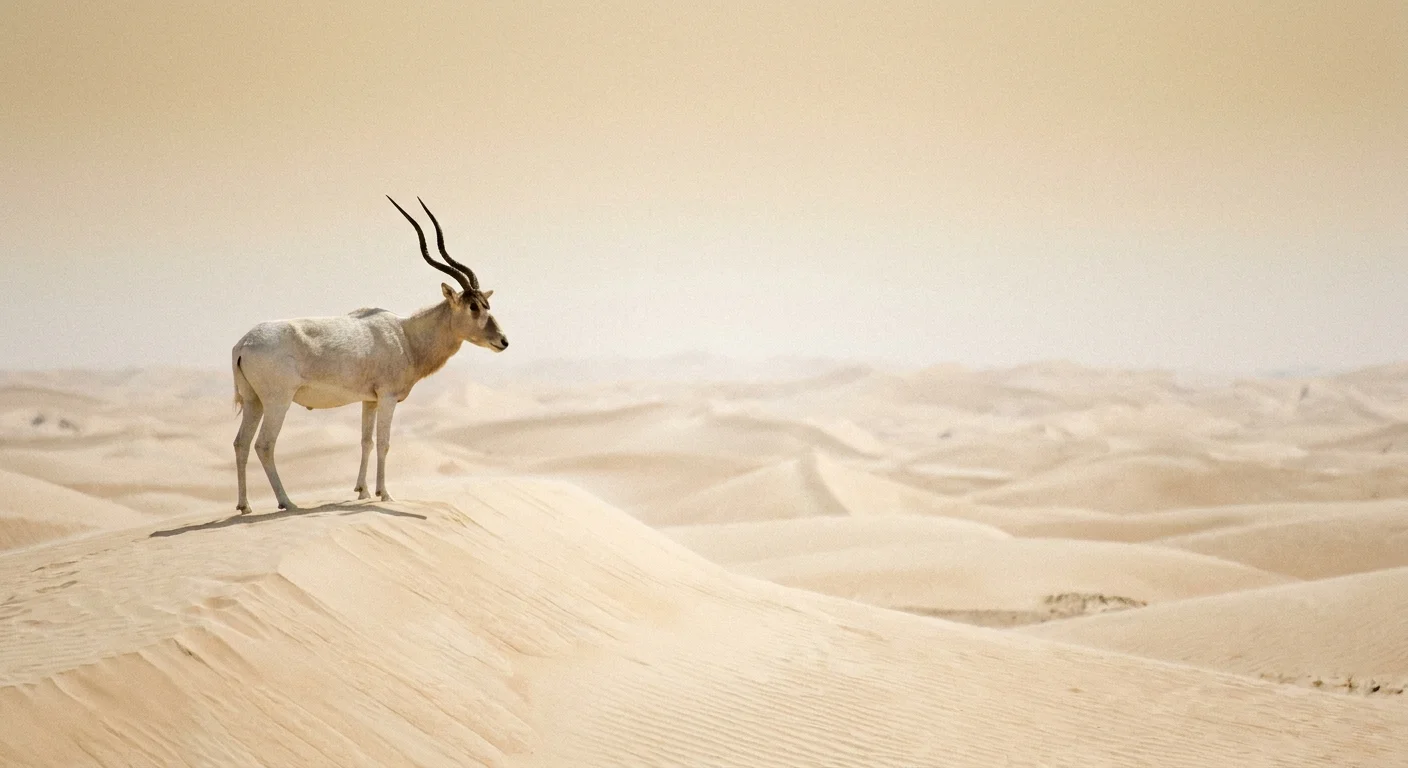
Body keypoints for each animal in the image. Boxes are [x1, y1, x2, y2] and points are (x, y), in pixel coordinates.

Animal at [231, 197, 508, 513]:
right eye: (473, 307)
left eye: (486, 304)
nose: (503, 341)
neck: (406, 335)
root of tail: (244, 344)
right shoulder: (387, 397)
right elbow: (384, 442)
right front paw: (384, 494)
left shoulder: (369, 400)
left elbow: (366, 441)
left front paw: (362, 491)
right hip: (278, 402)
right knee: (264, 444)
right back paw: (287, 502)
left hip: (254, 402)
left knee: (241, 443)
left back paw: (244, 506)